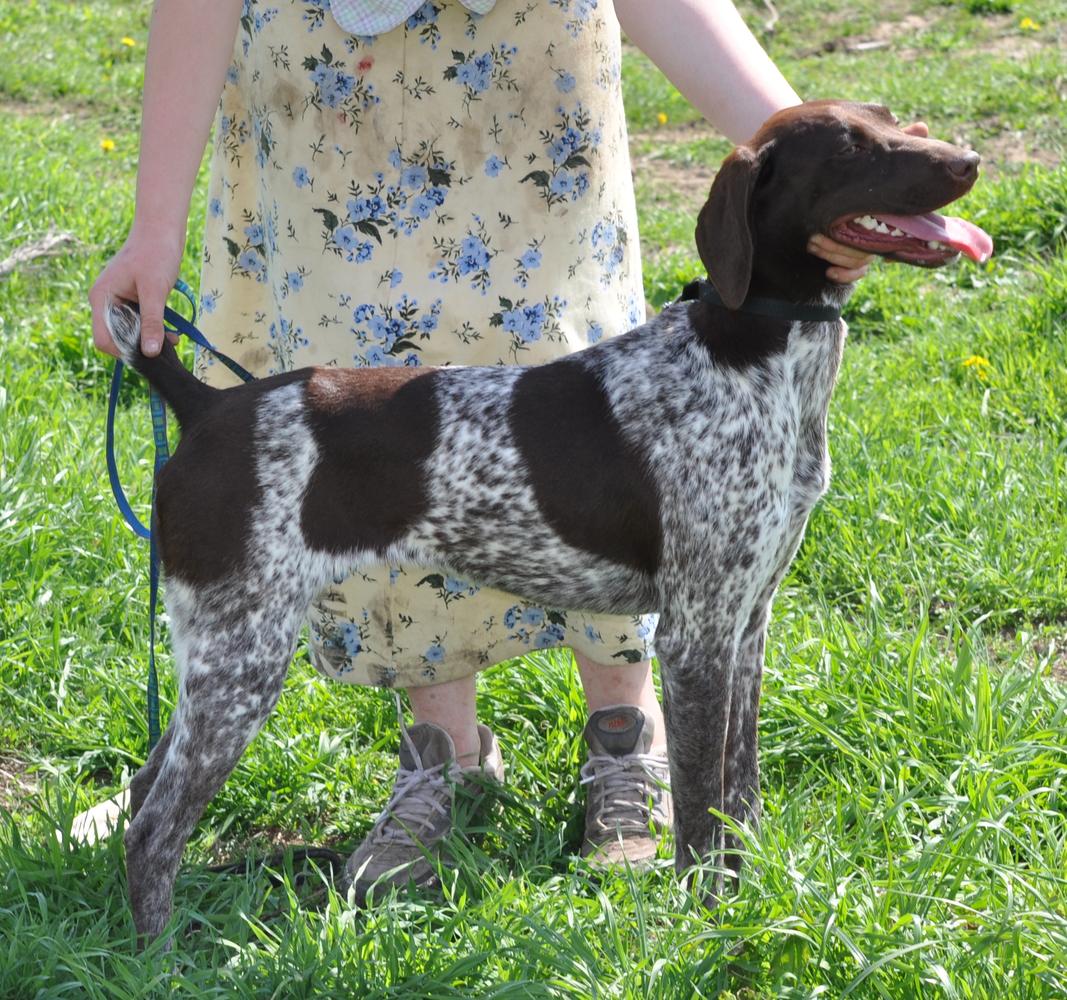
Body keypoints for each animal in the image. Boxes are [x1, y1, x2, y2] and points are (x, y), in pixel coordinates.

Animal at [104, 101, 985, 934]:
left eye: (895, 121)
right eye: (849, 148)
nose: (968, 161)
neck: (751, 358)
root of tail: (205, 405)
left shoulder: (746, 625)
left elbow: (740, 791)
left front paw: (754, 894)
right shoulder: (695, 638)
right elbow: (700, 813)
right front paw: (707, 921)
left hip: (218, 657)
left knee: (145, 790)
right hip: (243, 657)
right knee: (152, 832)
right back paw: (160, 963)